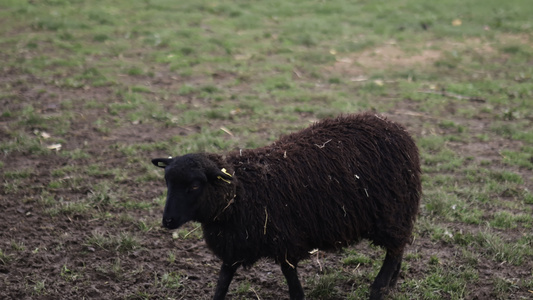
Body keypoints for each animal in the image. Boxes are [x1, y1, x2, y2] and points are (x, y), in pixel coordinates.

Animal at [152, 113, 422, 300]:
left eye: (195, 186)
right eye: (167, 182)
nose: (167, 221)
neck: (240, 193)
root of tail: (395, 127)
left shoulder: (285, 242)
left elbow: (294, 287)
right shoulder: (234, 244)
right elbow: (221, 285)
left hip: (392, 211)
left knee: (395, 248)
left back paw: (379, 288)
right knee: (398, 247)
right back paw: (391, 283)